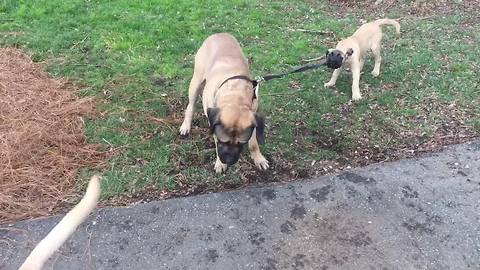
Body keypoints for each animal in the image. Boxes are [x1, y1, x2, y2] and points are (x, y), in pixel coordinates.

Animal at [180, 33, 270, 173]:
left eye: (242, 143)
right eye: (222, 141)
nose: (228, 160)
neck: (235, 96)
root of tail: (218, 34)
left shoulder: (253, 117)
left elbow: (254, 143)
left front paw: (258, 158)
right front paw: (220, 163)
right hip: (196, 81)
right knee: (190, 105)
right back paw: (186, 125)